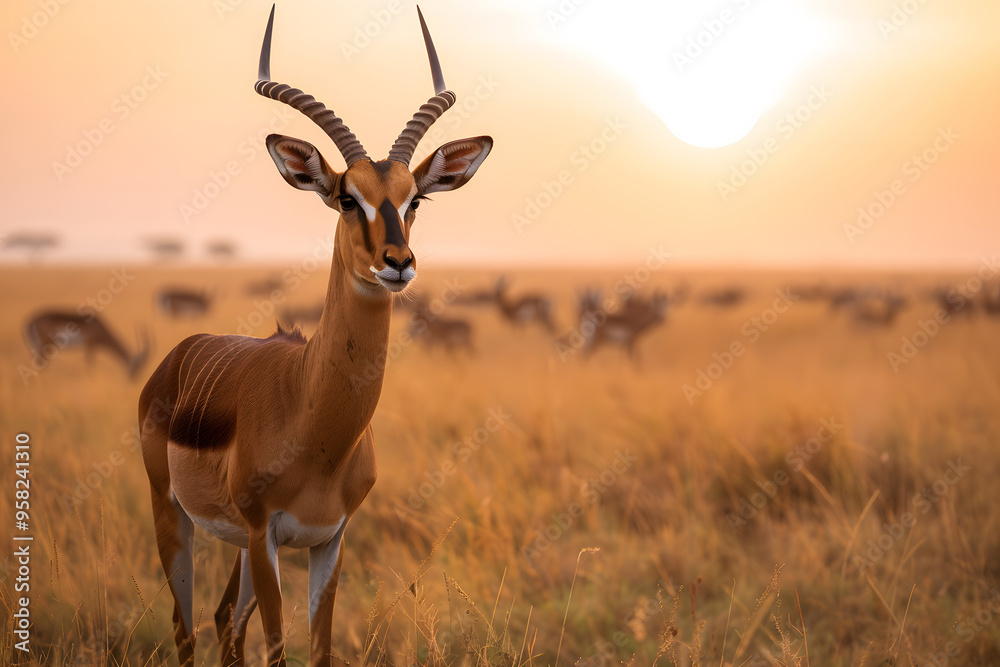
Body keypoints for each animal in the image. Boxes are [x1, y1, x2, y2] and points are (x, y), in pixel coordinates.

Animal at [137, 7, 491, 666]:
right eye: (346, 198)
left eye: (415, 199)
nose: (397, 262)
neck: (313, 423)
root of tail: (177, 355)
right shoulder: (266, 534)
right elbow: (279, 648)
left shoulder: (330, 539)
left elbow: (319, 648)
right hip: (176, 517)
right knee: (186, 627)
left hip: (238, 545)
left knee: (224, 622)